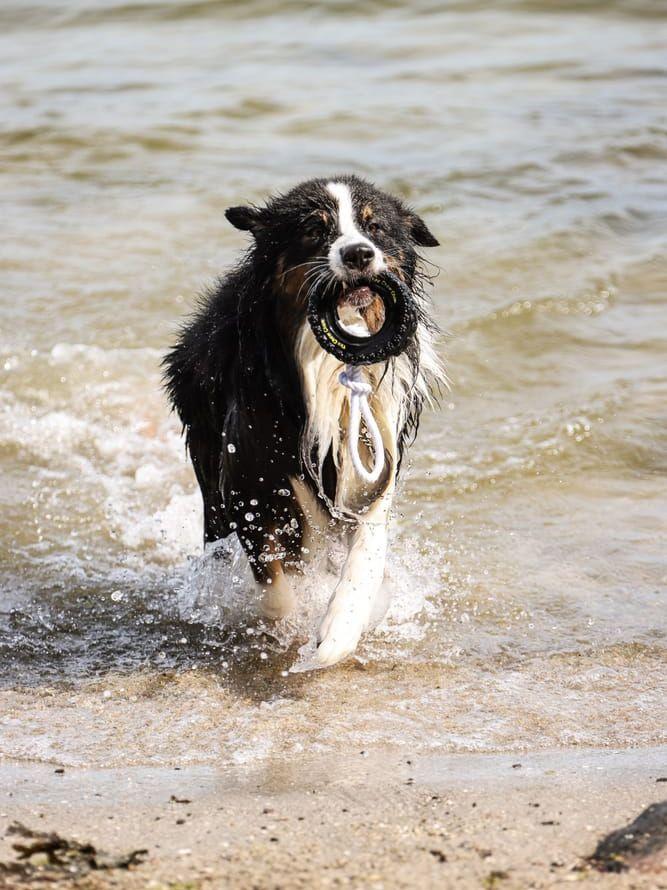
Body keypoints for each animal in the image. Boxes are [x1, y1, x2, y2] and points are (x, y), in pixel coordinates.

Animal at [163, 173, 444, 664]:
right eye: (315, 229)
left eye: (375, 228)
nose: (358, 254)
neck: (331, 368)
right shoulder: (250, 479)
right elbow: (274, 583)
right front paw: (288, 630)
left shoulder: (371, 459)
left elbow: (367, 551)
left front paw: (340, 630)